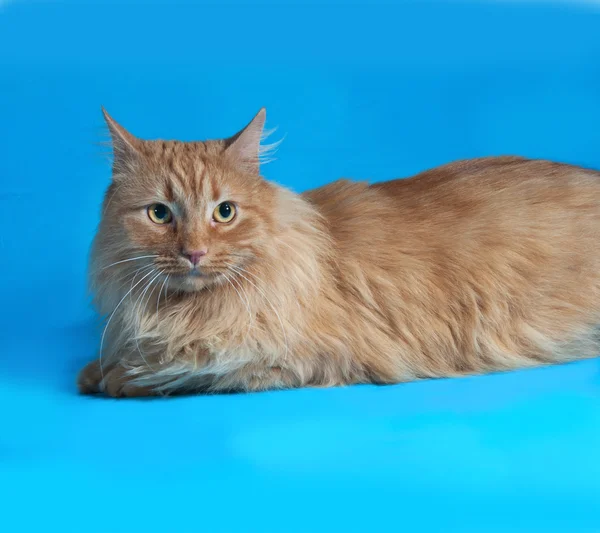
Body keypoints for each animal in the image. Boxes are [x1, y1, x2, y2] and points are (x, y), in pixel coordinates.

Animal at [77, 108, 600, 396]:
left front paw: (124, 377)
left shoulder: (303, 357)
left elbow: (194, 367)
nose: (195, 253)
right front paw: (98, 370)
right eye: (159, 215)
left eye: (224, 212)